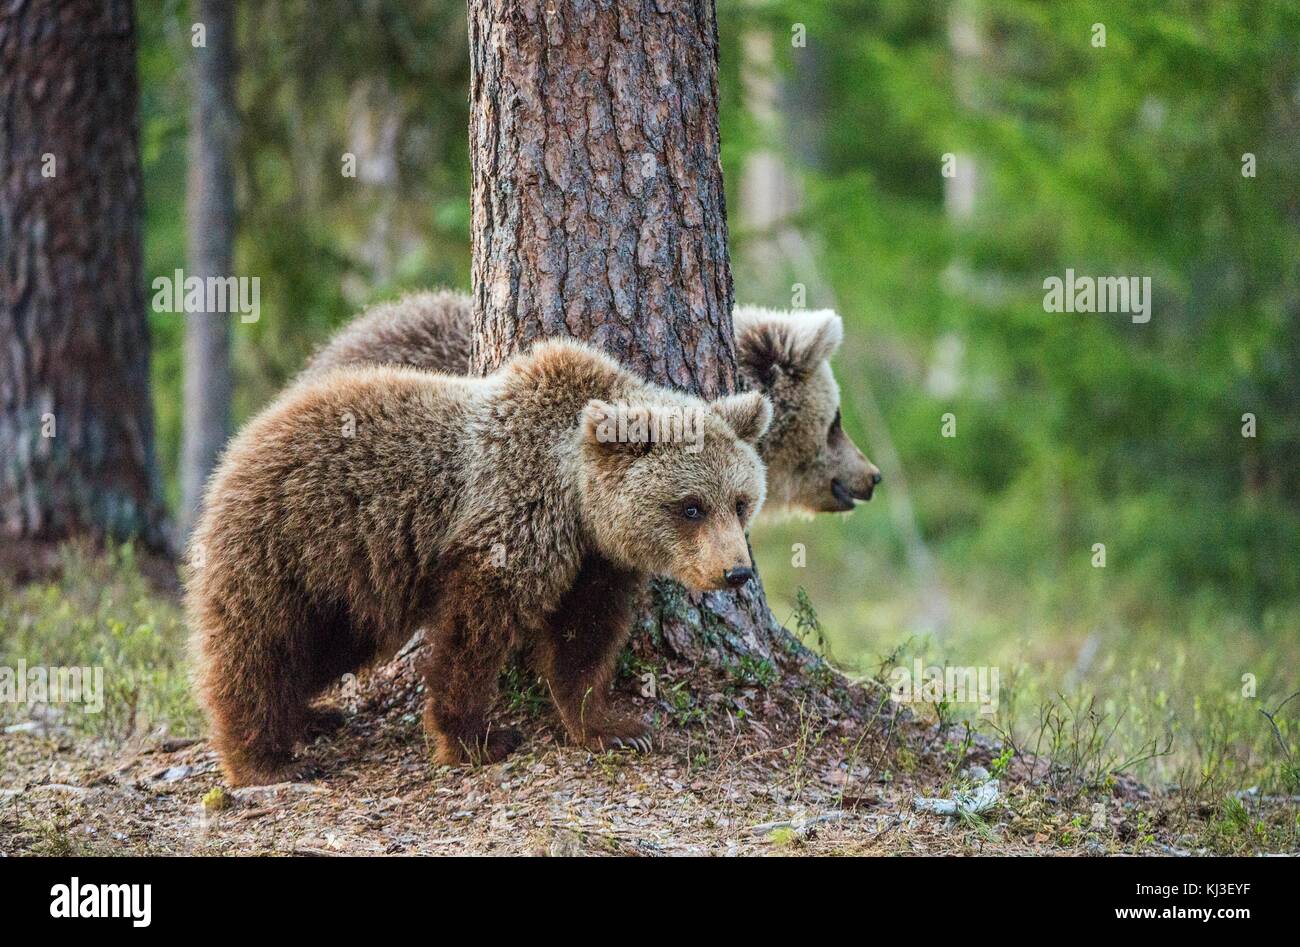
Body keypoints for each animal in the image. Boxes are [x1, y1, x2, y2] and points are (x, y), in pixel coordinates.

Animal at [188, 338, 772, 786]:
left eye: (741, 501)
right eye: (691, 506)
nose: (737, 571)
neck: (575, 496)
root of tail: (241, 442)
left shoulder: (595, 559)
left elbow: (584, 639)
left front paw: (613, 727)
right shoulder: (510, 521)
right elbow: (474, 630)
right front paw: (476, 738)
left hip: (340, 587)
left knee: (326, 647)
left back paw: (310, 716)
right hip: (287, 546)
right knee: (259, 649)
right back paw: (264, 759)